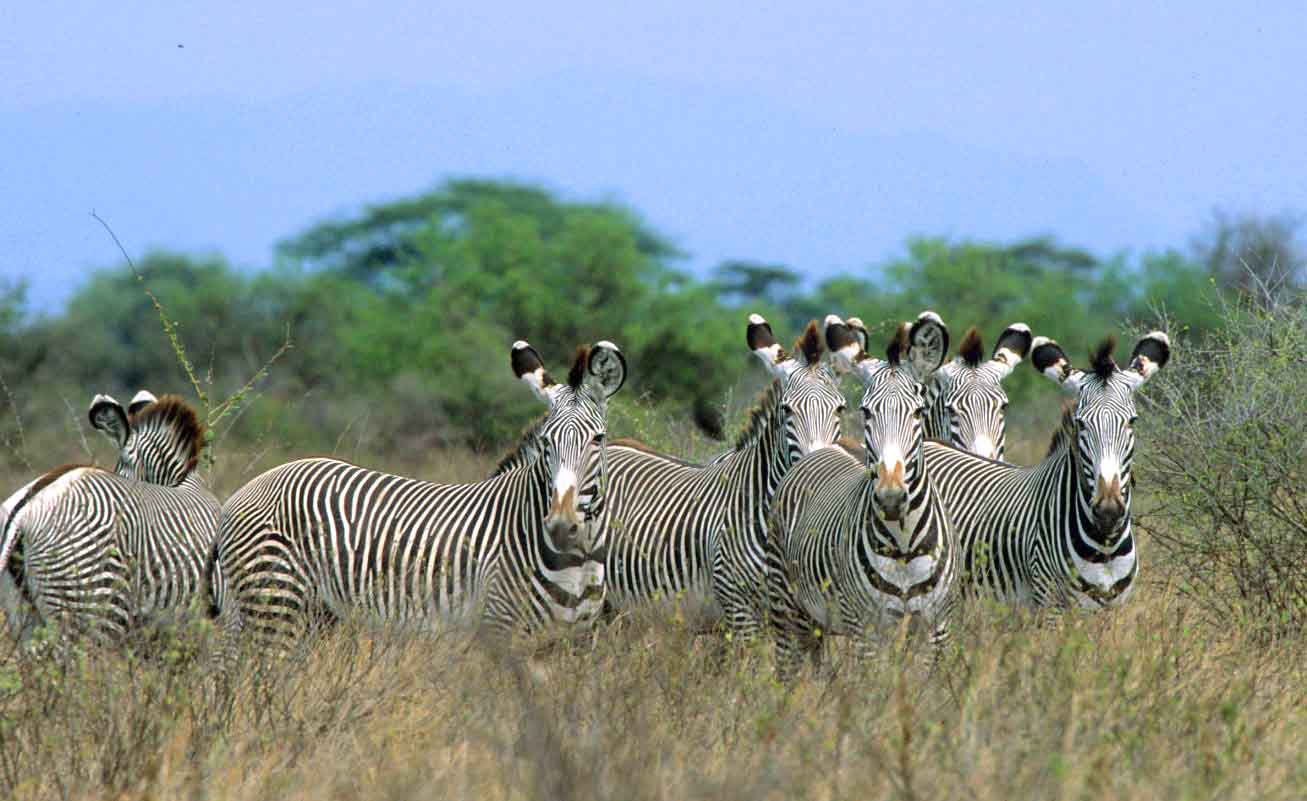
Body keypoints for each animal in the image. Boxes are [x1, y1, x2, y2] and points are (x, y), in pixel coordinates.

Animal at [210, 340, 627, 645]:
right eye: (545, 443)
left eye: (598, 439)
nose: (561, 525)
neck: (577, 561)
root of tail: (245, 490)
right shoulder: (499, 632)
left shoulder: (570, 643)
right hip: (274, 602)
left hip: (314, 614)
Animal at [765, 312, 956, 677]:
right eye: (866, 412)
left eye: (918, 413)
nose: (891, 497)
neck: (904, 545)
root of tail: (822, 450)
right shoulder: (868, 630)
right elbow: (875, 688)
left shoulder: (935, 627)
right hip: (787, 604)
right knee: (786, 667)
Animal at [921, 331, 1171, 609]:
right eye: (1081, 424)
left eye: (1132, 421)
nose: (1108, 510)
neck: (1105, 546)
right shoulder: (1048, 604)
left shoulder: (1116, 609)